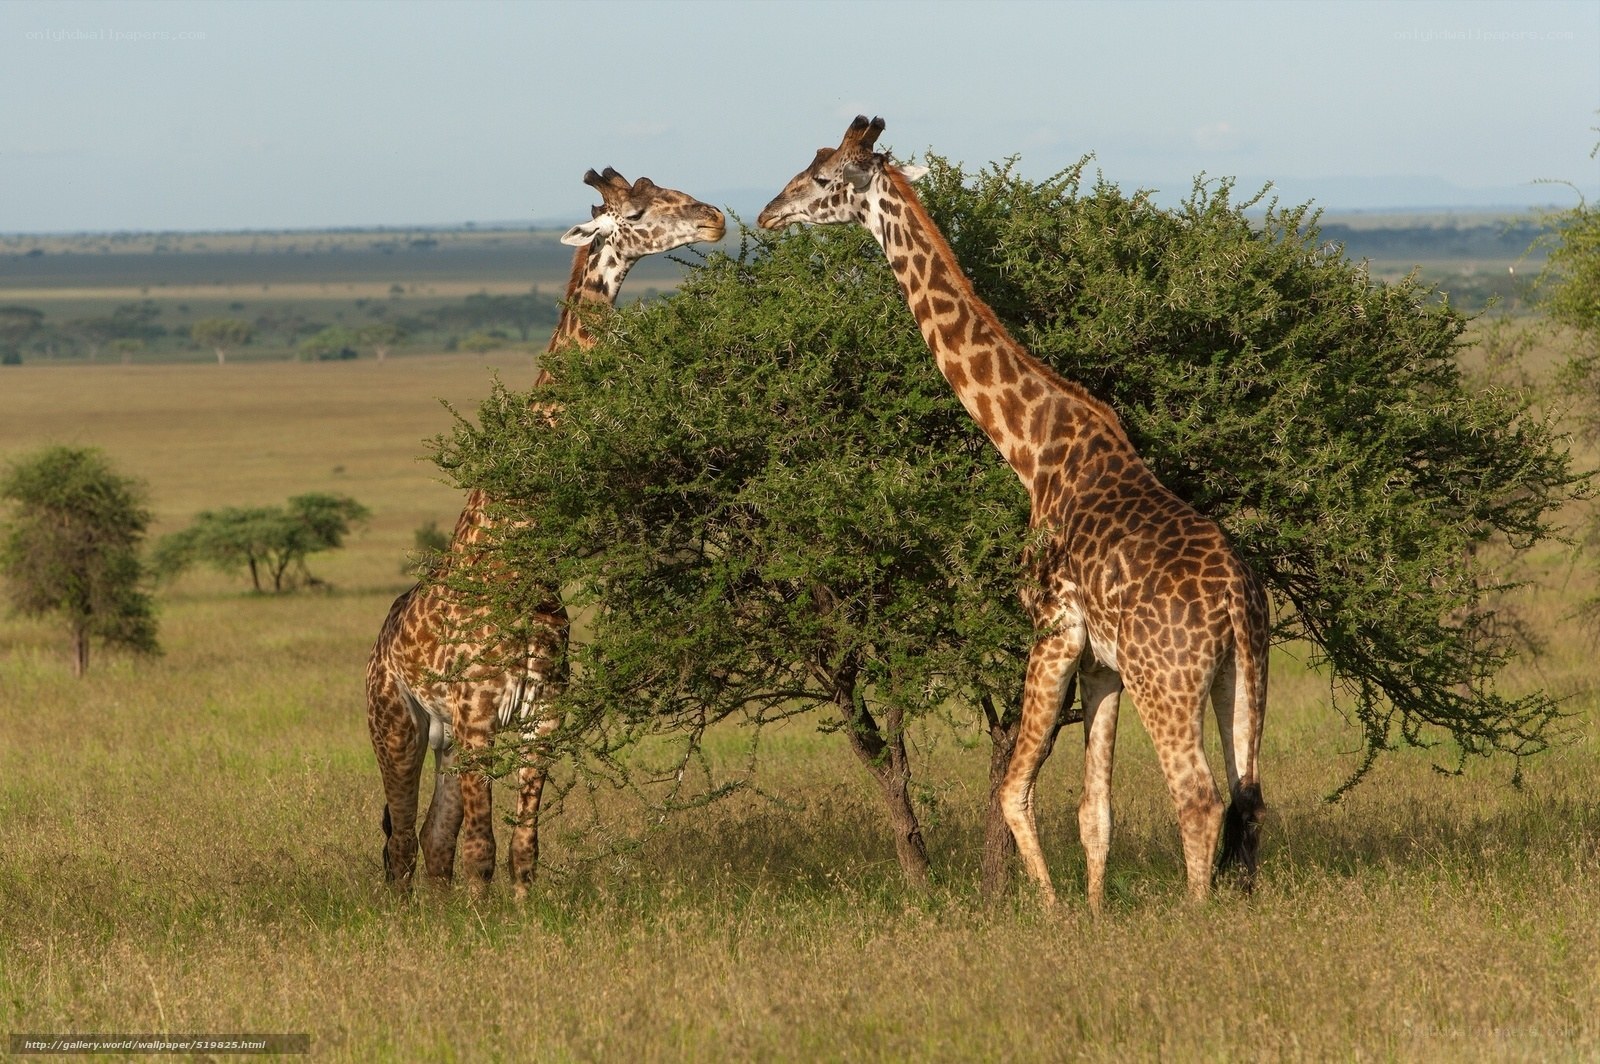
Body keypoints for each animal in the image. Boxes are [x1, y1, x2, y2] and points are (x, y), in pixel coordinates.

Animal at [367, 168, 724, 898]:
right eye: (637, 210)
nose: (715, 220)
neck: (520, 554)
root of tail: (378, 645)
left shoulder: (542, 716)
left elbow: (522, 845)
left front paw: (523, 914)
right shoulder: (479, 717)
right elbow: (482, 846)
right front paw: (485, 922)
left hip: (444, 737)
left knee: (431, 842)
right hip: (395, 724)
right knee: (402, 845)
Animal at [758, 117, 1269, 912]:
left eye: (821, 179)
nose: (767, 214)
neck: (1032, 450)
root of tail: (1237, 602)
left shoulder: (1051, 628)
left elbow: (1012, 790)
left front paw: (1054, 913)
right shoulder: (1101, 662)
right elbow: (1095, 809)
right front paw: (1093, 915)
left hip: (1168, 679)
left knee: (1198, 797)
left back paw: (1195, 917)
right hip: (1242, 676)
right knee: (1248, 797)